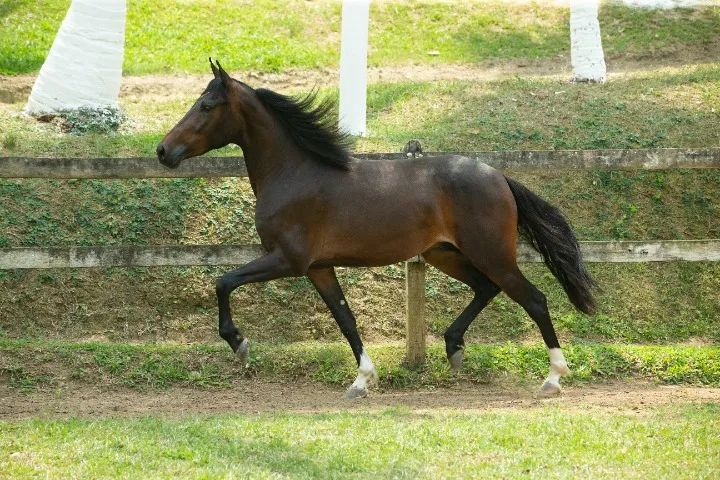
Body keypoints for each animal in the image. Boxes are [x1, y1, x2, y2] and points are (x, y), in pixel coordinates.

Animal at [157, 59, 597, 399]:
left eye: (206, 106)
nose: (163, 151)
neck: (294, 174)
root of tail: (500, 177)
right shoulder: (318, 268)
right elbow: (345, 319)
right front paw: (362, 381)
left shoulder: (287, 260)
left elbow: (223, 281)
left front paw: (240, 344)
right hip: (446, 254)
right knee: (486, 289)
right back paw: (453, 348)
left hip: (492, 255)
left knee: (534, 299)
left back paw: (553, 379)